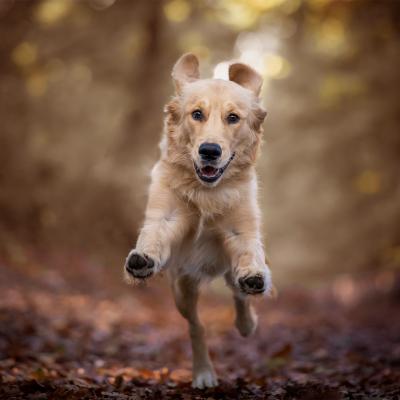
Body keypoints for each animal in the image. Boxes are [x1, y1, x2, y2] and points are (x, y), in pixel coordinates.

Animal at [124, 53, 272, 388]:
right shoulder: (165, 217)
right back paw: (204, 371)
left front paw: (254, 277)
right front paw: (142, 259)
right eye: (197, 114)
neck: (207, 191)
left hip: (224, 271)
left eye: (233, 118)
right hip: (182, 286)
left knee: (238, 294)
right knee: (196, 325)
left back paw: (247, 321)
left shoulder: (241, 230)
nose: (209, 151)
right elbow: (153, 236)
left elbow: (248, 254)